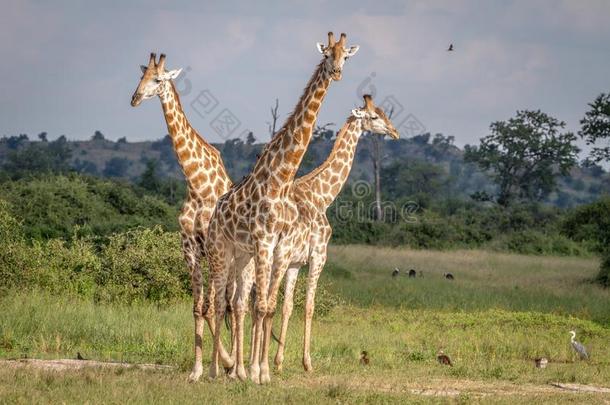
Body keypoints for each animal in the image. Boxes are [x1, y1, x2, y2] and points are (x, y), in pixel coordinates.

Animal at [128, 52, 235, 378]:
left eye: (158, 79)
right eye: (140, 76)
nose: (135, 98)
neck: (196, 183)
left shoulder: (213, 250)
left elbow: (212, 307)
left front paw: (219, 366)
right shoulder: (190, 250)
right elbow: (198, 308)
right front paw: (197, 370)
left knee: (235, 304)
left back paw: (235, 364)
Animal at [202, 33, 358, 384]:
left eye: (346, 56)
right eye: (326, 54)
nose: (337, 72)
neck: (281, 177)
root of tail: (216, 211)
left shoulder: (277, 245)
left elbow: (268, 305)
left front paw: (260, 371)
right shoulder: (265, 240)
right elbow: (262, 306)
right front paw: (259, 373)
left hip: (243, 255)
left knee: (235, 303)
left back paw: (234, 369)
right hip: (221, 250)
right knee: (218, 302)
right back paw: (216, 370)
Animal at [272, 94, 400, 370]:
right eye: (374, 116)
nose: (394, 132)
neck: (322, 196)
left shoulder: (295, 263)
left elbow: (288, 306)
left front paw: (278, 361)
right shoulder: (318, 256)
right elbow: (308, 306)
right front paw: (307, 362)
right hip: (275, 258)